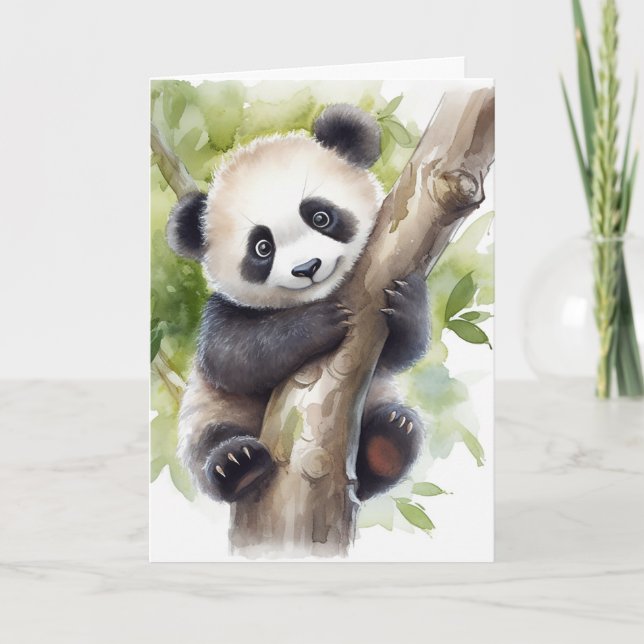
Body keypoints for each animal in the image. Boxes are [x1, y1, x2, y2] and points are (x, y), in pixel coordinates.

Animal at [166, 104, 430, 504]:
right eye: (262, 247)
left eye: (320, 216)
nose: (307, 268)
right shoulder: (222, 311)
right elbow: (233, 358)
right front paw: (320, 323)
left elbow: (397, 354)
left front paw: (406, 303)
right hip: (210, 411)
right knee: (211, 440)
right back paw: (237, 464)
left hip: (374, 399)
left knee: (386, 443)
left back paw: (389, 442)